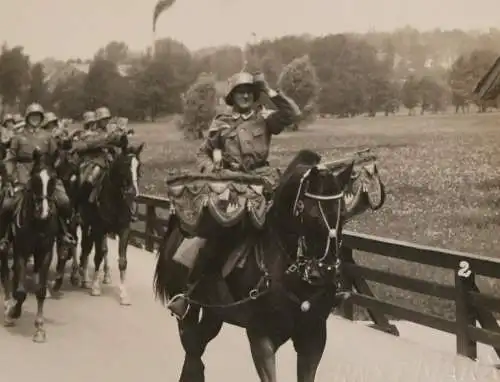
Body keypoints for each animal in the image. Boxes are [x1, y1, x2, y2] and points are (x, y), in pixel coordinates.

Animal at [2, 148, 59, 342]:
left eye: (53, 179)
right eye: (35, 179)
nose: (44, 211)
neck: (37, 223)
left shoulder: (45, 253)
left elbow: (40, 290)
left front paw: (40, 328)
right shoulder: (21, 251)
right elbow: (21, 292)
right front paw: (14, 312)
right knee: (5, 272)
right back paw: (7, 305)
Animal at [78, 140, 144, 304]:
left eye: (139, 165)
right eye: (125, 164)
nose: (133, 192)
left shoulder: (124, 230)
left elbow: (122, 260)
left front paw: (124, 294)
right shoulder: (99, 228)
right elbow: (98, 255)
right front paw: (95, 287)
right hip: (85, 224)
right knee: (86, 247)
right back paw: (83, 277)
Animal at [154, 150, 354, 382]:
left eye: (343, 215)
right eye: (312, 216)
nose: (326, 272)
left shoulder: (314, 337)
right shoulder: (262, 337)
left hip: (214, 314)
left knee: (196, 347)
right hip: (189, 311)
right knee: (192, 345)